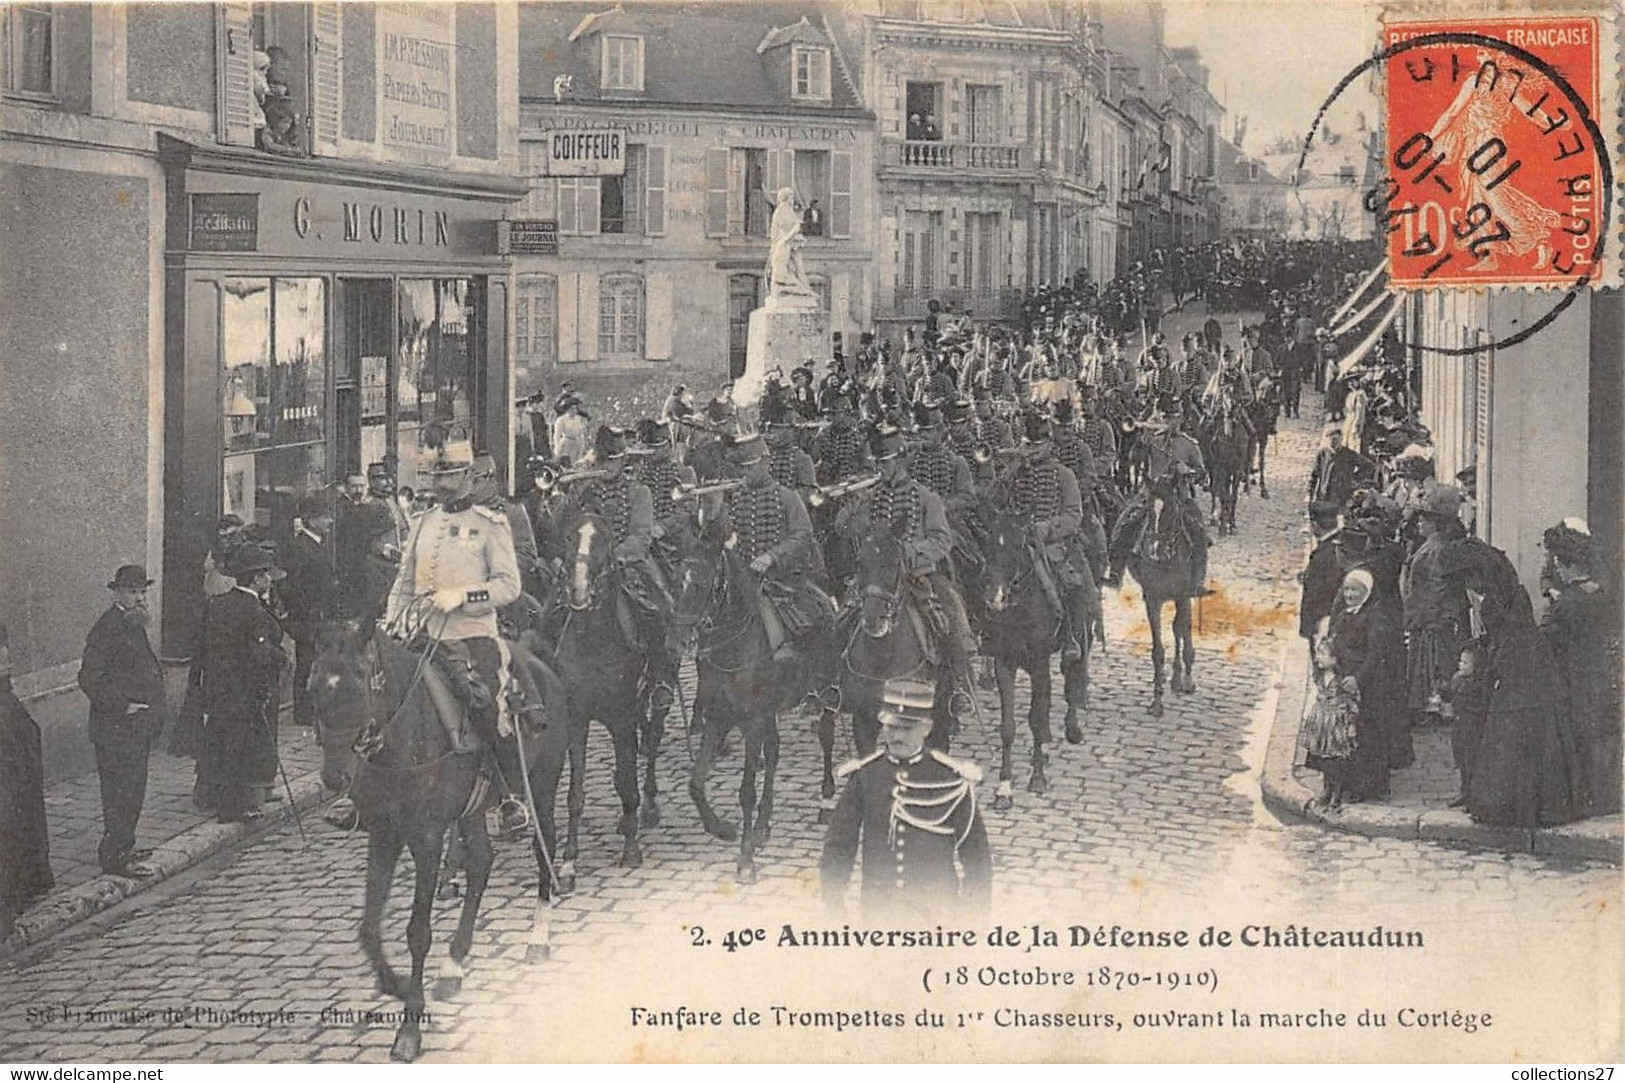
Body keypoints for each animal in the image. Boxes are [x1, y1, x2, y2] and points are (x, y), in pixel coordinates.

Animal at [310, 614, 572, 1053]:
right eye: (312, 684)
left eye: (359, 679)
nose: (335, 777)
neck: (403, 738)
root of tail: (540, 663)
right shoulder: (384, 834)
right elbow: (369, 927)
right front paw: (397, 984)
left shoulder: (427, 838)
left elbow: (418, 931)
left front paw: (410, 1025)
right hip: (472, 809)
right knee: (481, 862)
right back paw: (453, 966)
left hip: (542, 789)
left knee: (544, 851)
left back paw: (538, 938)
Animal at [663, 523, 838, 878]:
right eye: (674, 582)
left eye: (700, 585)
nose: (675, 644)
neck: (733, 645)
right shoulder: (719, 719)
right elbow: (696, 782)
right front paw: (721, 828)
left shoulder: (752, 723)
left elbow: (745, 791)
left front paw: (745, 860)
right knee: (773, 754)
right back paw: (761, 826)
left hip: (824, 695)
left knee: (825, 740)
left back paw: (825, 802)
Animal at [968, 500, 1098, 806]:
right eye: (988, 543)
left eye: (1018, 545)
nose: (994, 598)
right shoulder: (1004, 663)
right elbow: (1009, 726)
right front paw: (1004, 787)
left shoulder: (1039, 664)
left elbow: (1036, 720)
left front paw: (1037, 778)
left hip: (1080, 636)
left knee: (1072, 679)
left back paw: (1072, 729)